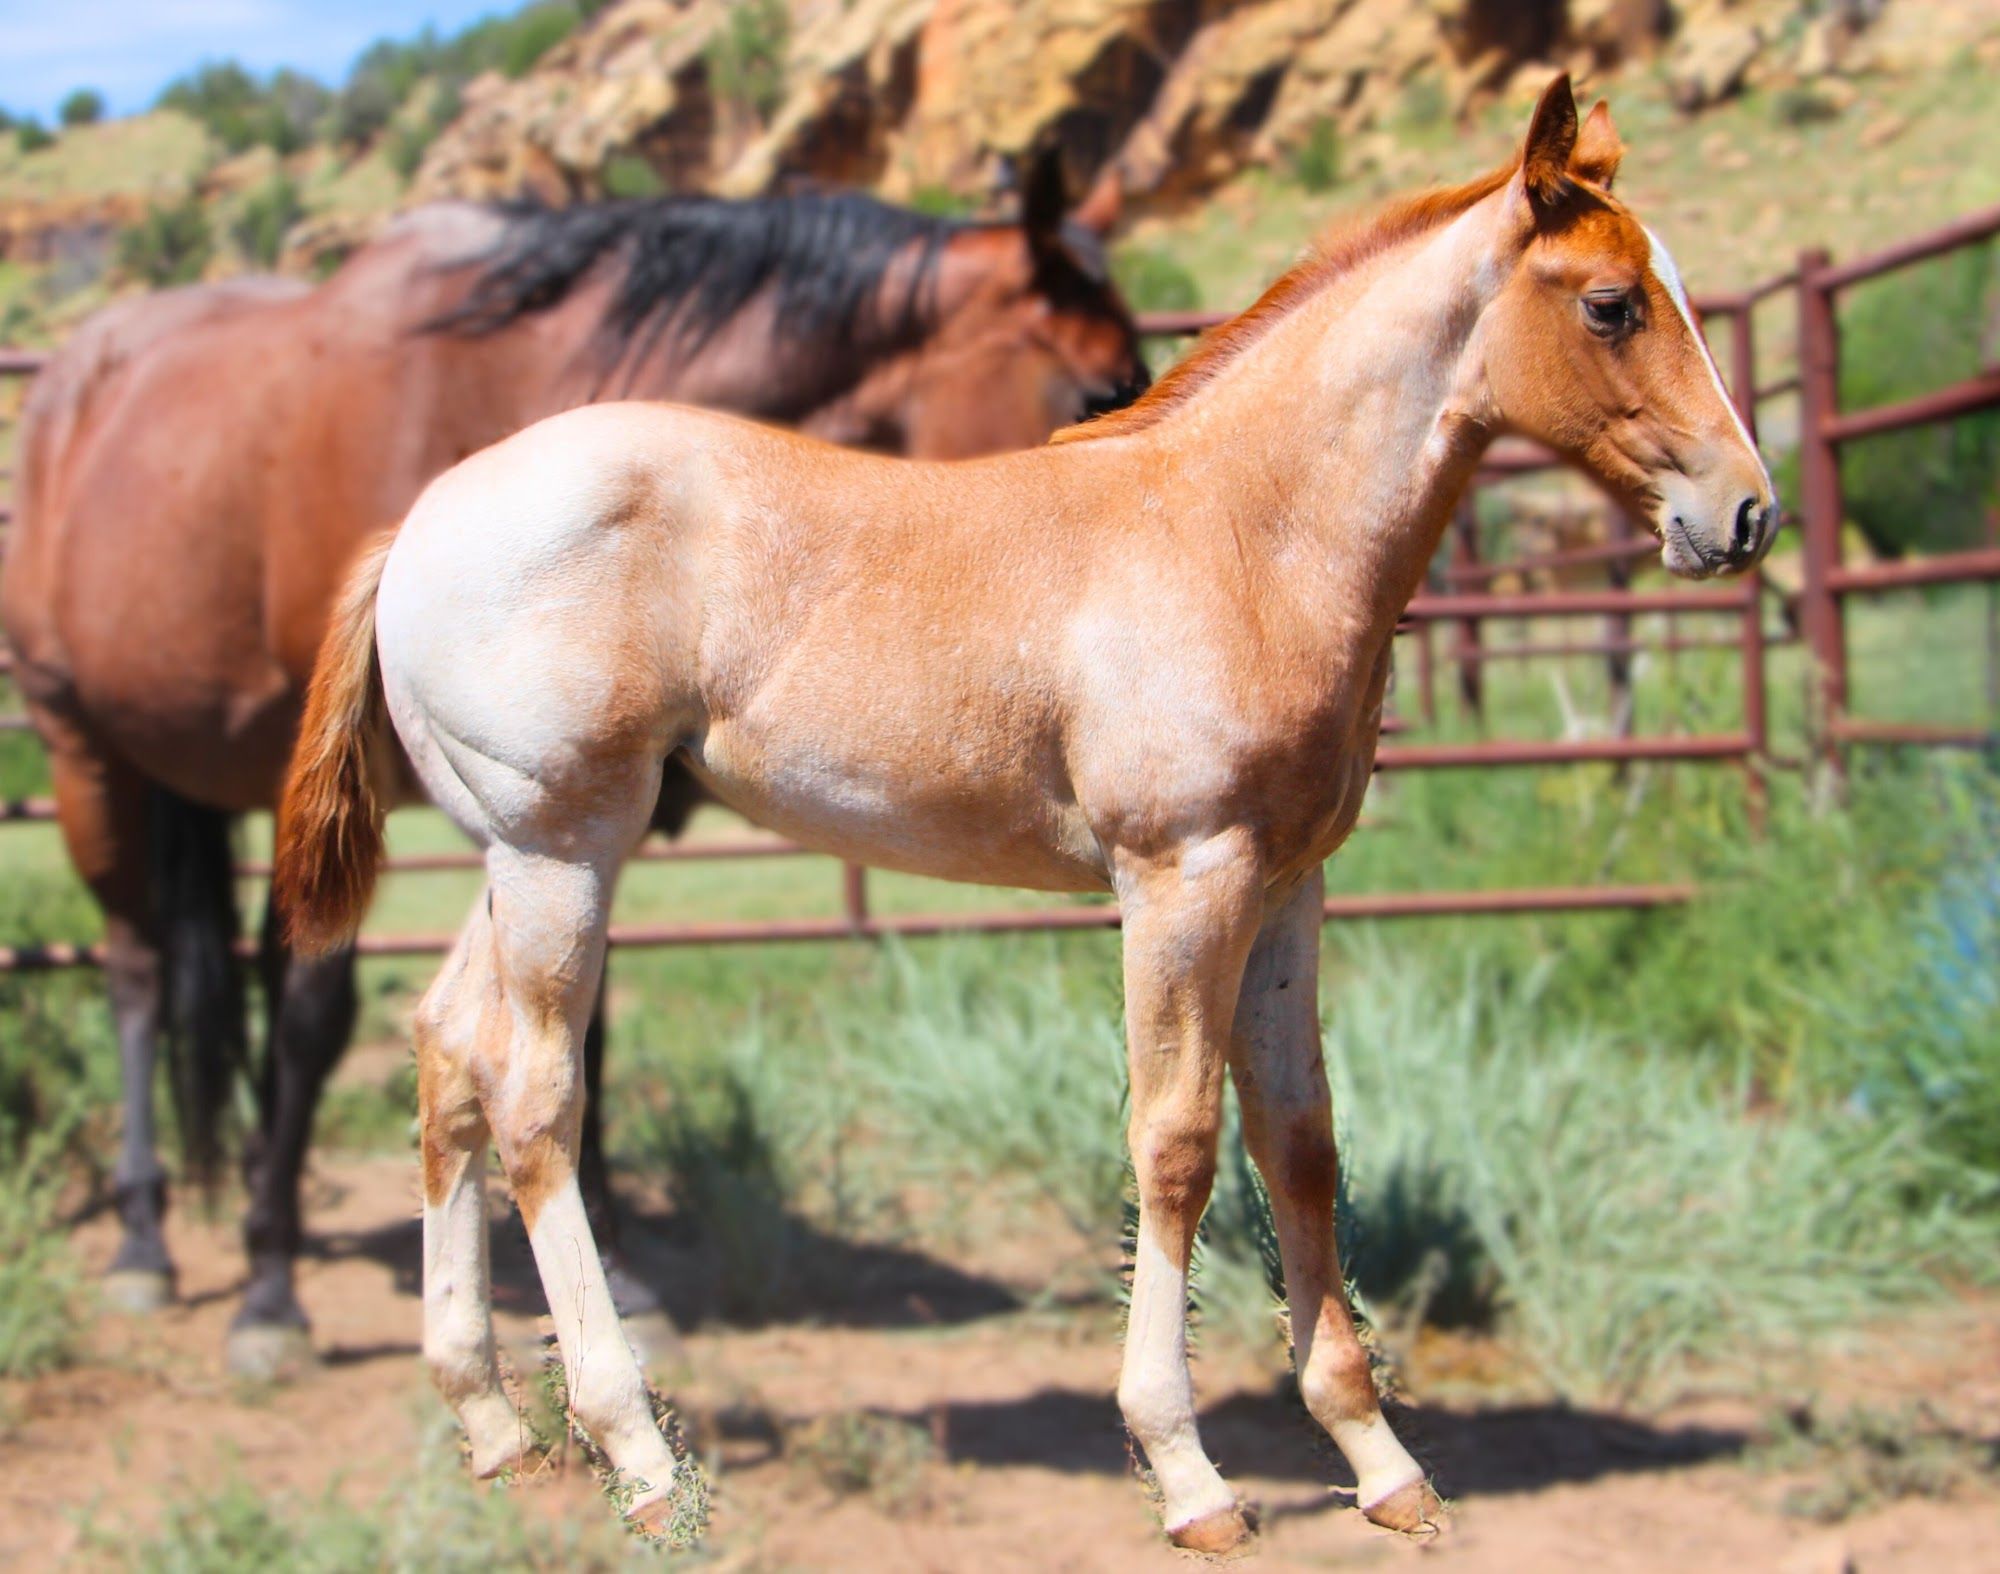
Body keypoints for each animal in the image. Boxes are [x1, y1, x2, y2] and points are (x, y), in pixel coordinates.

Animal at [0, 153, 1147, 1378]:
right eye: (1092, 392)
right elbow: (319, 1016)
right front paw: (268, 1290)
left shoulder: (572, 822)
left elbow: (569, 1026)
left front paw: (617, 1279)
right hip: (87, 757)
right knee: (136, 972)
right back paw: (146, 1238)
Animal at [274, 77, 1774, 1549]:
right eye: (1610, 304)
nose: (1745, 512)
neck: (1243, 531)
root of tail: (422, 519)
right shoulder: (1180, 876)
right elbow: (1175, 1144)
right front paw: (1187, 1471)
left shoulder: (1289, 883)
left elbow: (1301, 1142)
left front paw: (1378, 1457)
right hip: (562, 847)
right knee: (535, 1096)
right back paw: (635, 1451)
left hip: (519, 852)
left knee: (446, 1050)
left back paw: (488, 1422)